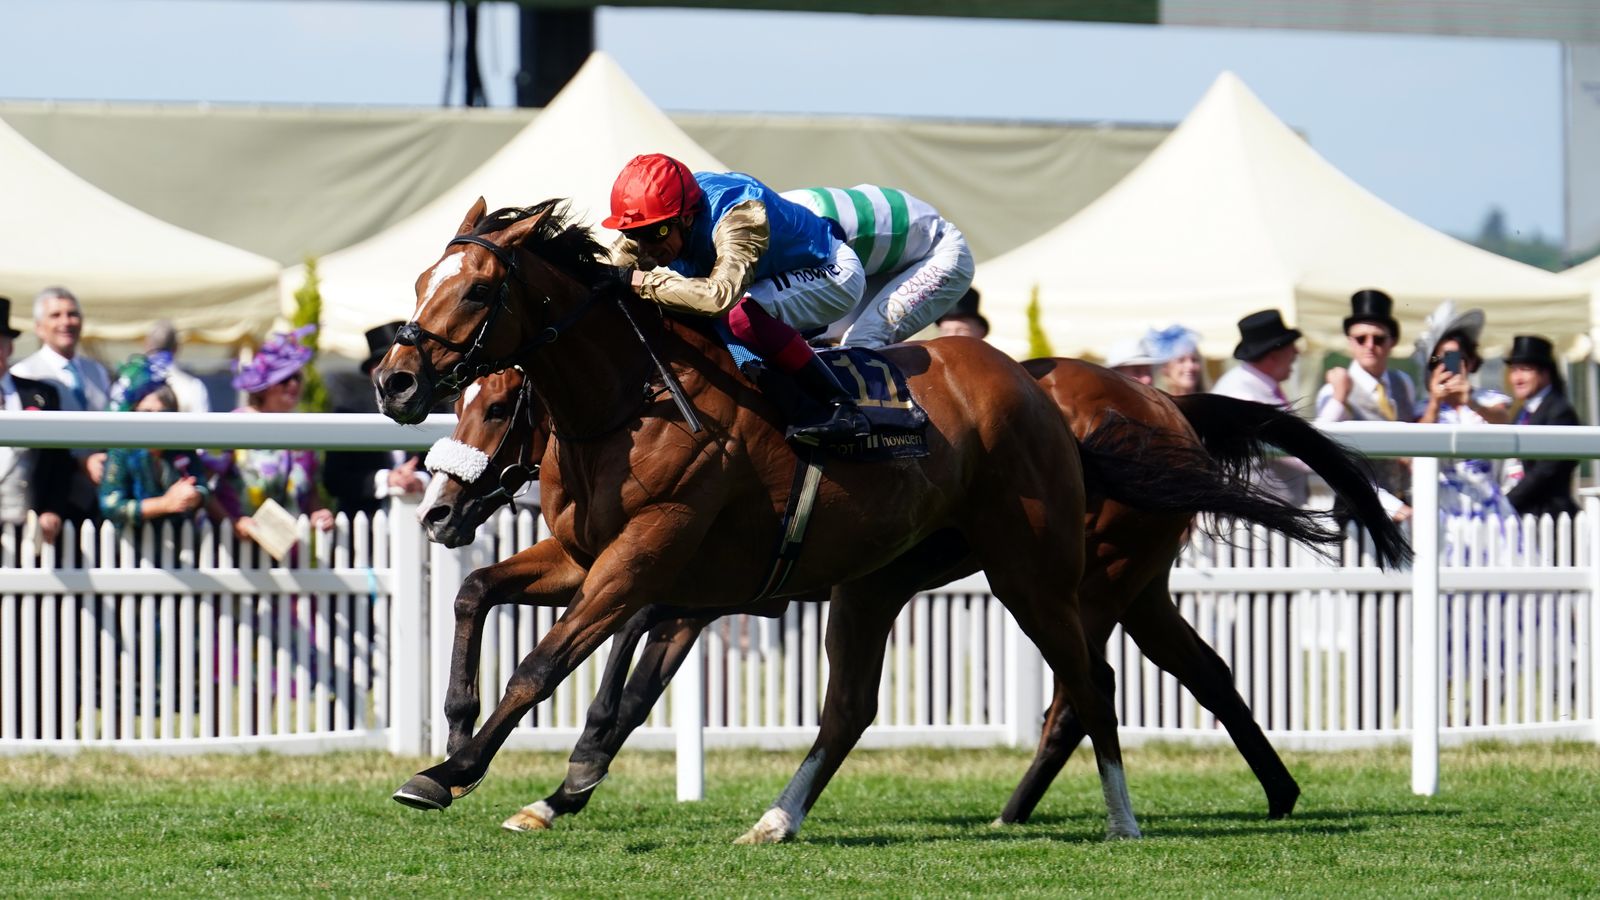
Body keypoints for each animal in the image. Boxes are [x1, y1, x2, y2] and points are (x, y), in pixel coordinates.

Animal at [372, 196, 1145, 832]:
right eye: (419, 282)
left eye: (477, 289)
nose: (394, 382)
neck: (635, 398)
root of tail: (1040, 390)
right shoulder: (590, 556)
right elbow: (477, 592)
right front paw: (461, 733)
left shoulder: (646, 556)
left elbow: (546, 663)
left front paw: (451, 773)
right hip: (879, 580)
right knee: (851, 706)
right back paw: (777, 819)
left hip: (1032, 573)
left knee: (1089, 683)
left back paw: (1121, 817)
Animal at [419, 358, 1408, 832]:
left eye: (499, 408)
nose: (437, 510)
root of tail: (1163, 403)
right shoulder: (671, 583)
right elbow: (511, 607)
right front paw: (530, 775)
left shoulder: (679, 581)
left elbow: (614, 673)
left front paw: (549, 774)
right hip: (1130, 585)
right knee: (1198, 670)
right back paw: (1273, 791)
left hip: (1081, 576)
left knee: (1080, 690)